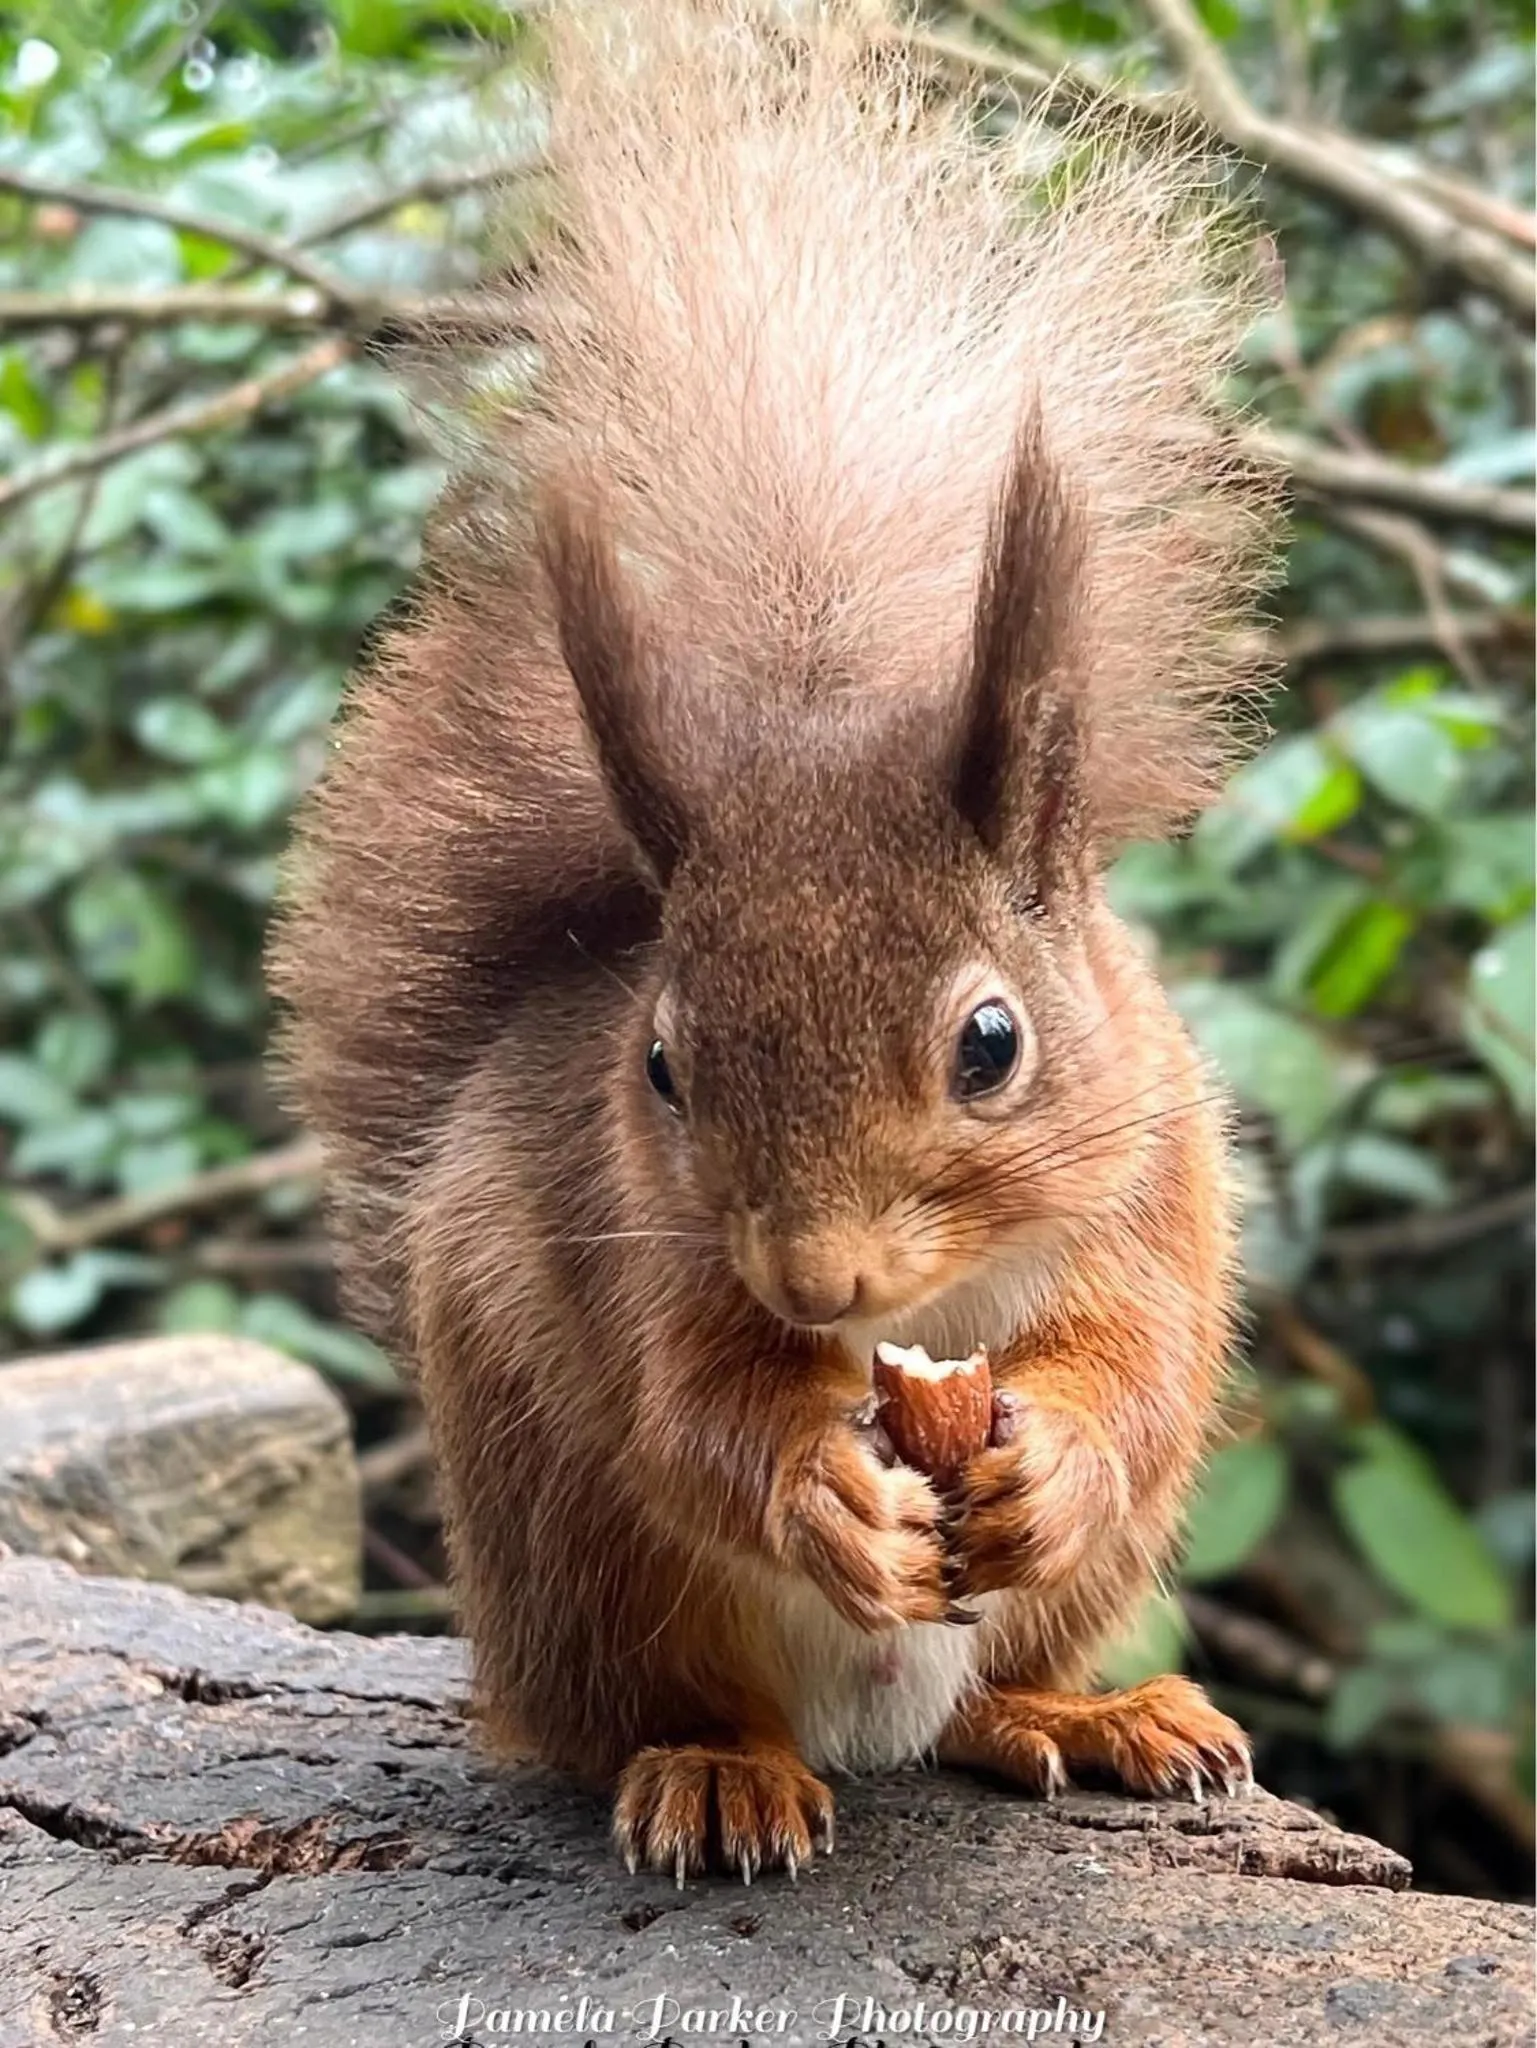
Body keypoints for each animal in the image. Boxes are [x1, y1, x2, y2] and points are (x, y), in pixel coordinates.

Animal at [269, 0, 1279, 1882]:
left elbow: (1133, 1364)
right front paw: (819, 1485)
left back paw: (1088, 1713)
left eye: (993, 1042)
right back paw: (716, 1769)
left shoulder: (1152, 1190)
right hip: (581, 1556)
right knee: (651, 1701)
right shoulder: (639, 1241)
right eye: (660, 1066)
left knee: (987, 1697)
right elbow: (701, 1410)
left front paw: (1050, 1461)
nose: (816, 1280)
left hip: (1062, 1589)